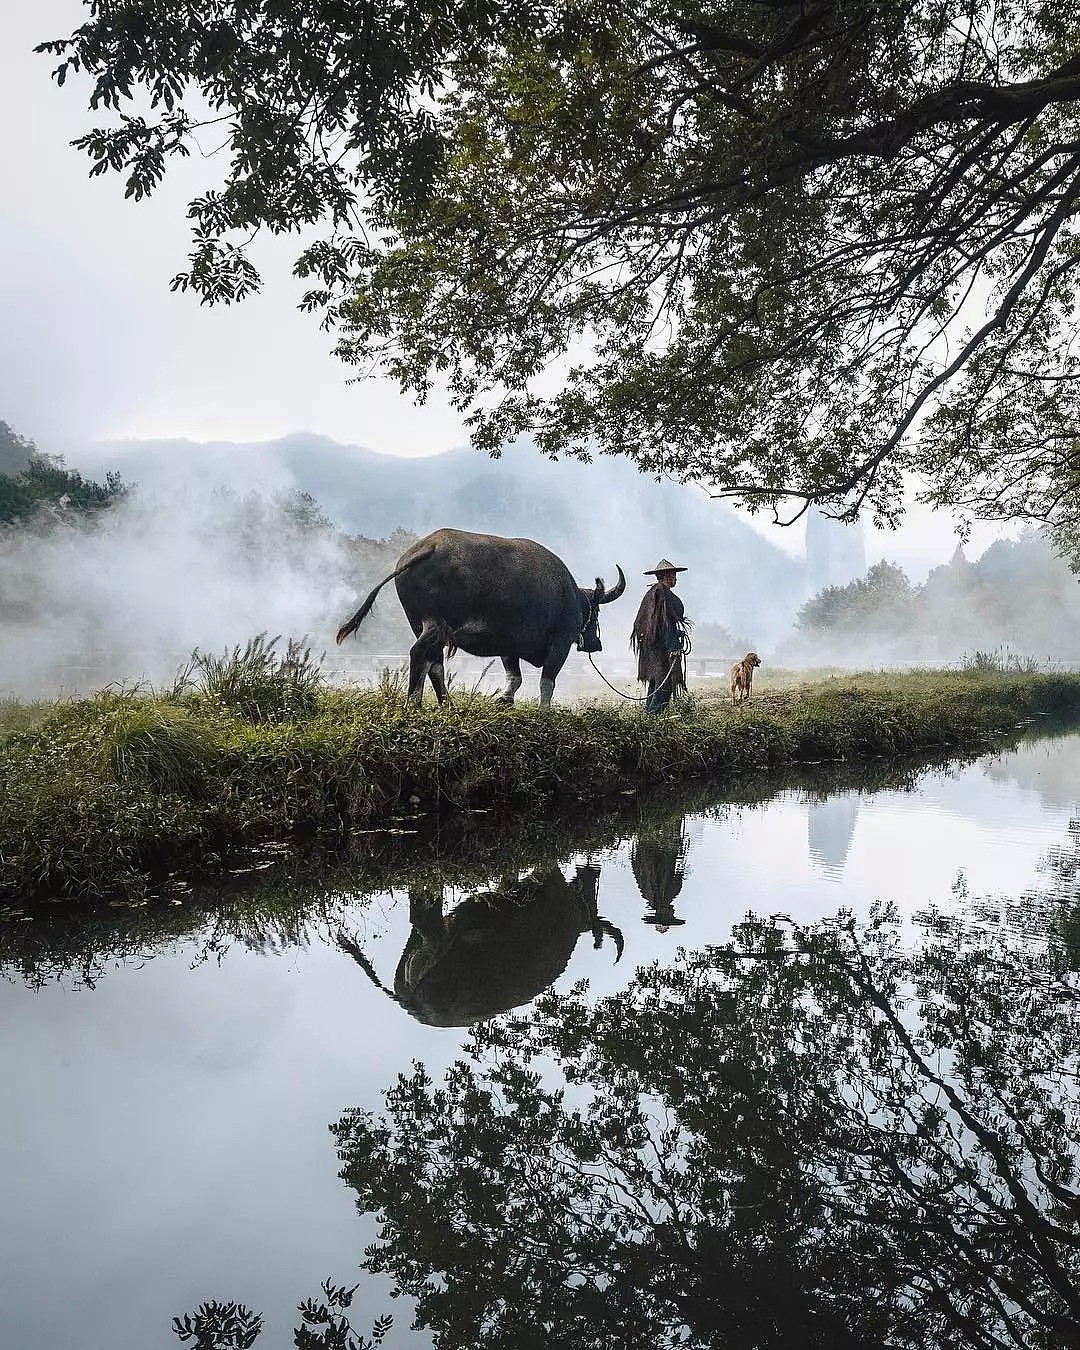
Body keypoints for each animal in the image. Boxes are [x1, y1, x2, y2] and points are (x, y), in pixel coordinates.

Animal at [334, 526, 623, 707]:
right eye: (596, 610)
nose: (596, 644)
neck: (569, 595)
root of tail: (427, 547)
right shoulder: (560, 642)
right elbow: (547, 682)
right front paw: (544, 710)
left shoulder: (509, 647)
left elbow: (515, 677)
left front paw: (504, 700)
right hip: (435, 625)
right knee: (420, 655)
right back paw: (414, 703)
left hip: (422, 625)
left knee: (434, 663)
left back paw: (446, 703)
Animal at [337, 864, 623, 1020]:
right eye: (589, 907)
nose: (592, 872)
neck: (574, 911)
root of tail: (413, 1006)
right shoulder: (547, 875)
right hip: (440, 939)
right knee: (428, 926)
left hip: (411, 952)